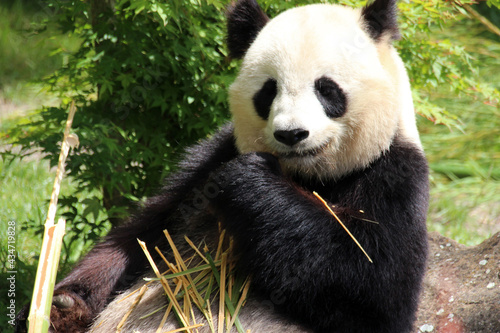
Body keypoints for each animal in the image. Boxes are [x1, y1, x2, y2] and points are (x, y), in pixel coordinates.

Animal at [18, 0, 430, 332]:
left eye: (327, 89)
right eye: (268, 91)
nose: (292, 134)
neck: (309, 176)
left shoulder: (393, 175)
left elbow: (371, 290)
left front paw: (250, 183)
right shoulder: (205, 164)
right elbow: (139, 238)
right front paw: (60, 305)